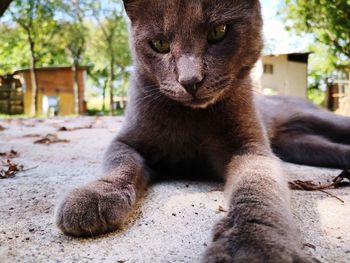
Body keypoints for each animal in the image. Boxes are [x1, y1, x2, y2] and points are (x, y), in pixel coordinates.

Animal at [56, 1, 348, 262]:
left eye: (219, 31)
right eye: (159, 44)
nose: (190, 81)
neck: (189, 117)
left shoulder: (251, 148)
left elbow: (258, 187)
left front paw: (252, 245)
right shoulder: (125, 141)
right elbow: (120, 164)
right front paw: (95, 195)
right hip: (300, 145)